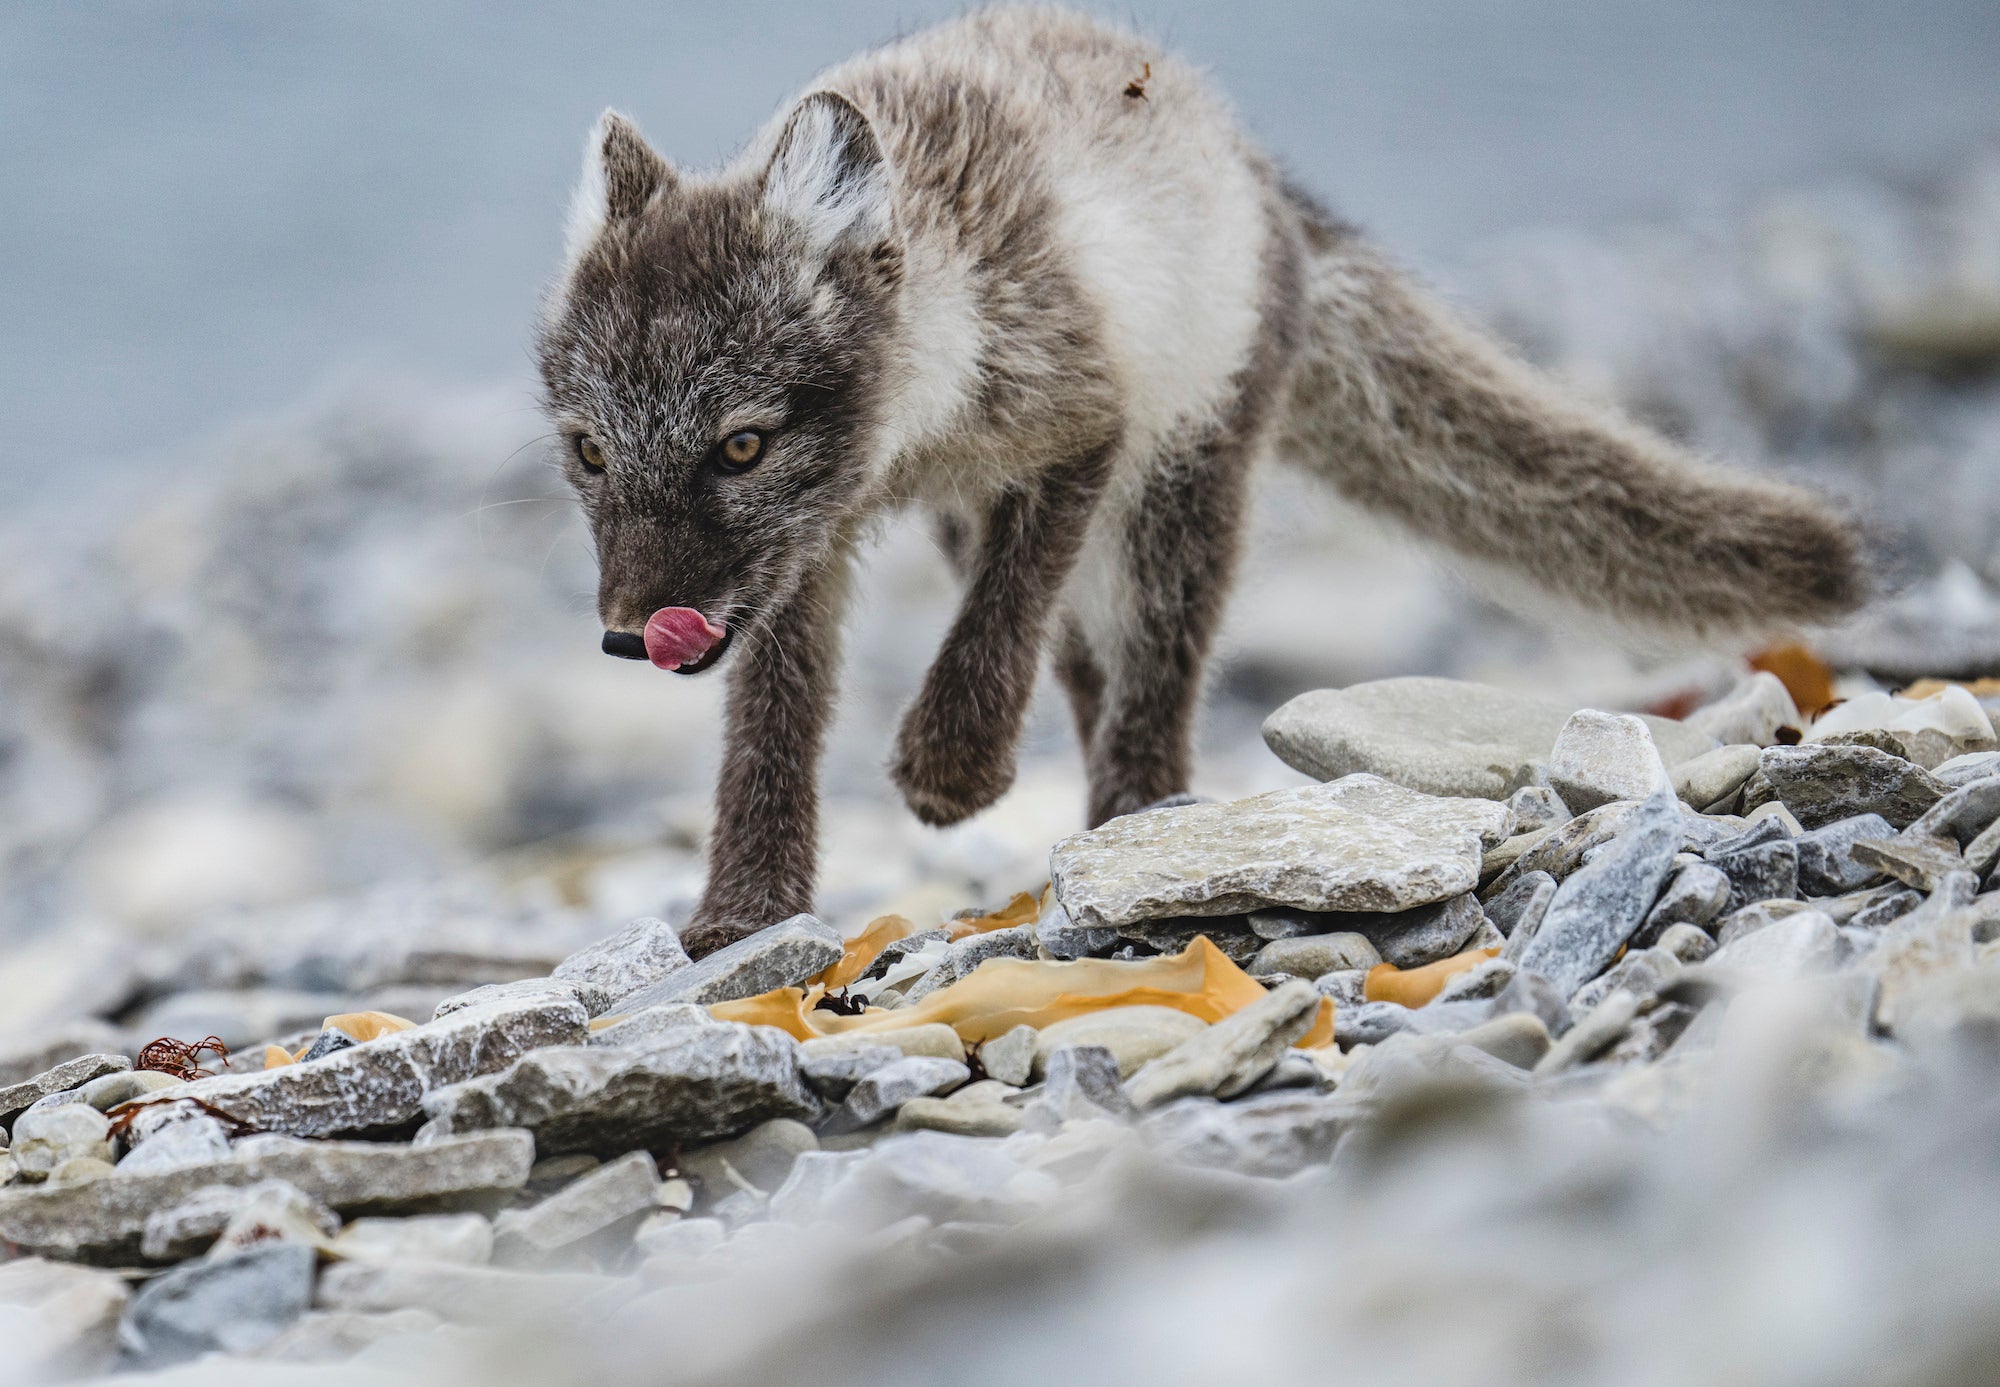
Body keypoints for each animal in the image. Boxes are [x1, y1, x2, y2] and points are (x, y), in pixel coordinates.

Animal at [532, 5, 1856, 963]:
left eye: (738, 447)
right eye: (591, 453)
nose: (624, 637)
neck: (927, 413)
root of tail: (1262, 172)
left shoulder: (1081, 428)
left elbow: (994, 628)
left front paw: (953, 769)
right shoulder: (813, 544)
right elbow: (773, 723)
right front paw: (745, 915)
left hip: (1187, 473)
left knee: (1149, 668)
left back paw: (1139, 822)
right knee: (1083, 666)